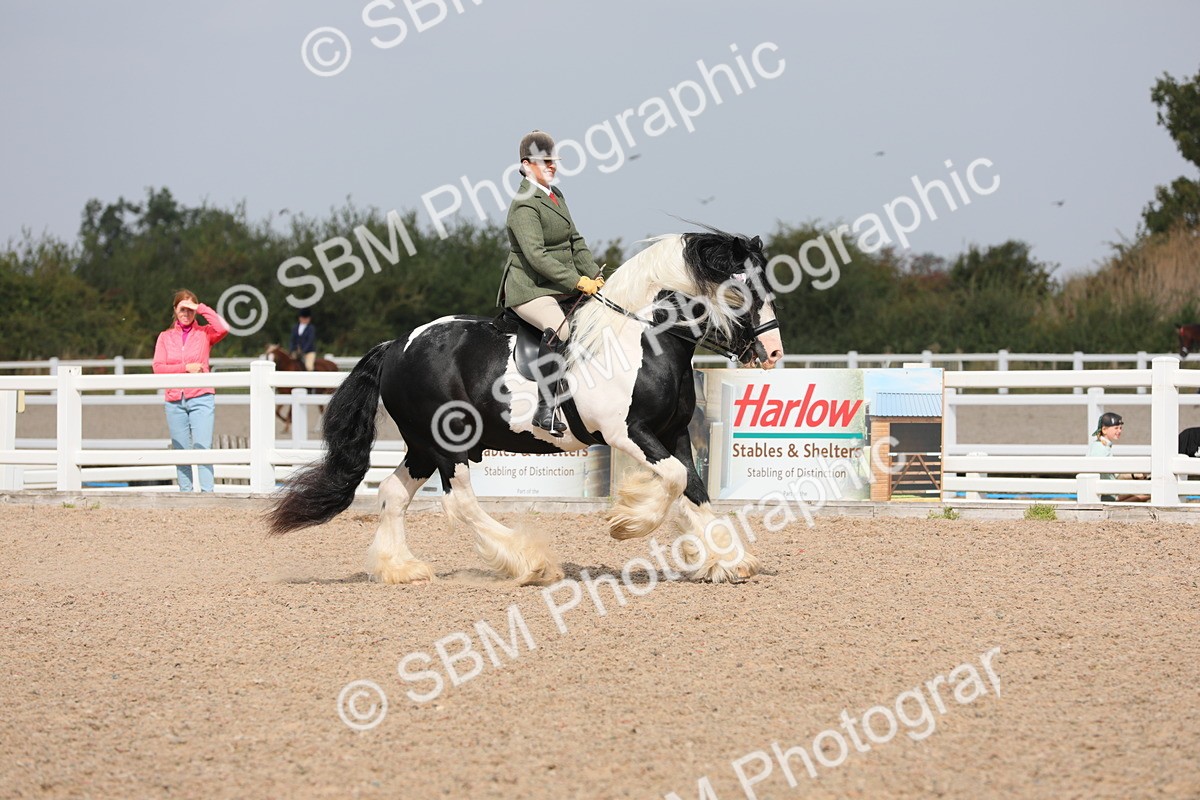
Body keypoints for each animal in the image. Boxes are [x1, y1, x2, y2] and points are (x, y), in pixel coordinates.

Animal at [266, 229, 785, 585]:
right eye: (740, 291)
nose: (774, 353)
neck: (643, 338)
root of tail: (397, 344)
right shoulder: (626, 433)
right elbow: (674, 481)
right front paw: (627, 522)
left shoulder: (673, 433)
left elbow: (694, 489)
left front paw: (726, 560)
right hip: (446, 444)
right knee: (461, 503)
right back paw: (529, 563)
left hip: (420, 446)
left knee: (393, 494)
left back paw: (402, 569)